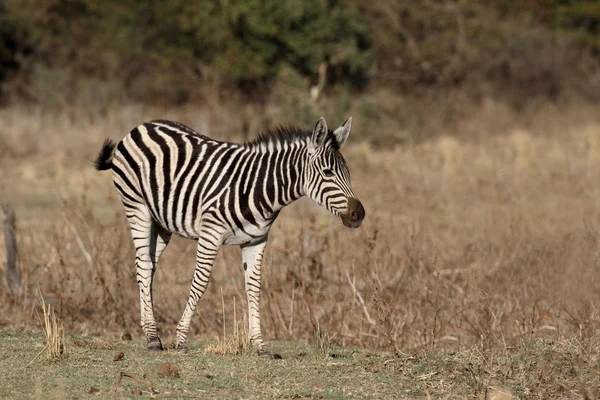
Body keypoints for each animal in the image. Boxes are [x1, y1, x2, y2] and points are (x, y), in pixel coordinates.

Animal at [94, 116, 366, 356]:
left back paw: (152, 333)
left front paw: (260, 346)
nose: (359, 214)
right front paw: (181, 340)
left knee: (148, 268)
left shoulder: (257, 241)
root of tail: (142, 126)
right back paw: (152, 338)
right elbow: (200, 283)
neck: (260, 189)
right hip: (137, 207)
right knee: (143, 265)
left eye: (348, 172)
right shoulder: (210, 233)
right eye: (328, 173)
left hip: (162, 222)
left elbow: (254, 289)